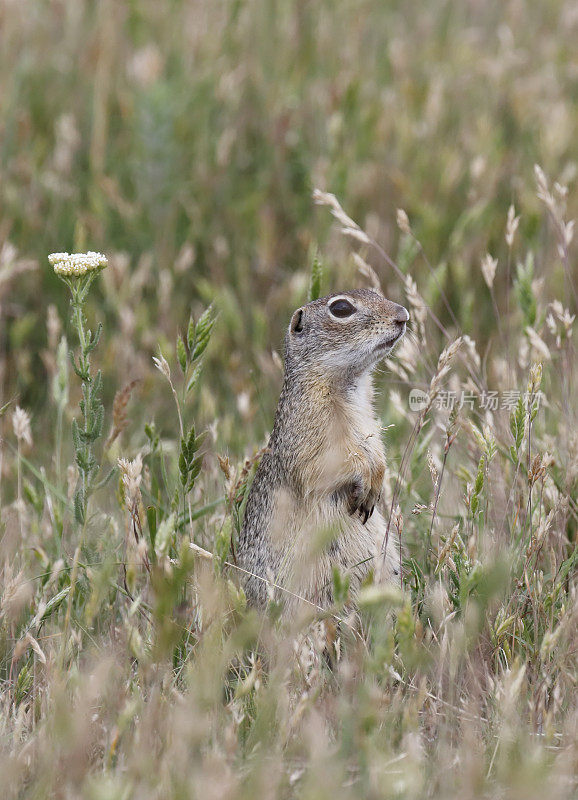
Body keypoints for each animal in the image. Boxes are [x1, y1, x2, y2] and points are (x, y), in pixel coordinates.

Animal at [236, 290, 408, 616]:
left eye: (375, 293)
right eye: (341, 308)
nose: (403, 315)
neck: (349, 387)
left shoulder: (369, 421)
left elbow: (377, 451)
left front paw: (377, 479)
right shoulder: (309, 427)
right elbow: (325, 464)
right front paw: (366, 478)